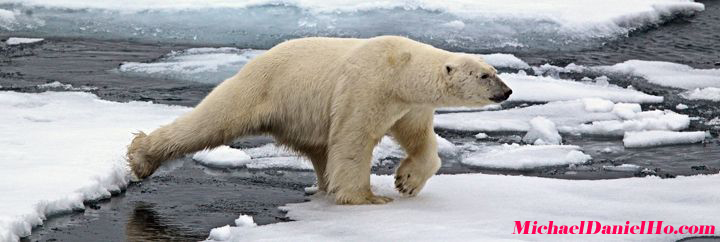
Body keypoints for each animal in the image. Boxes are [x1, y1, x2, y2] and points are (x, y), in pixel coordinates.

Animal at [128, 36, 512, 204]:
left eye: (495, 71)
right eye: (484, 76)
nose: (507, 91)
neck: (400, 68)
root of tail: (254, 61)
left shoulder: (408, 104)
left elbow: (419, 138)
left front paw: (406, 182)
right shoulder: (367, 85)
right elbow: (354, 138)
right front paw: (368, 197)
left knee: (320, 151)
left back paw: (324, 185)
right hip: (262, 89)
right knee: (211, 121)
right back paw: (141, 156)